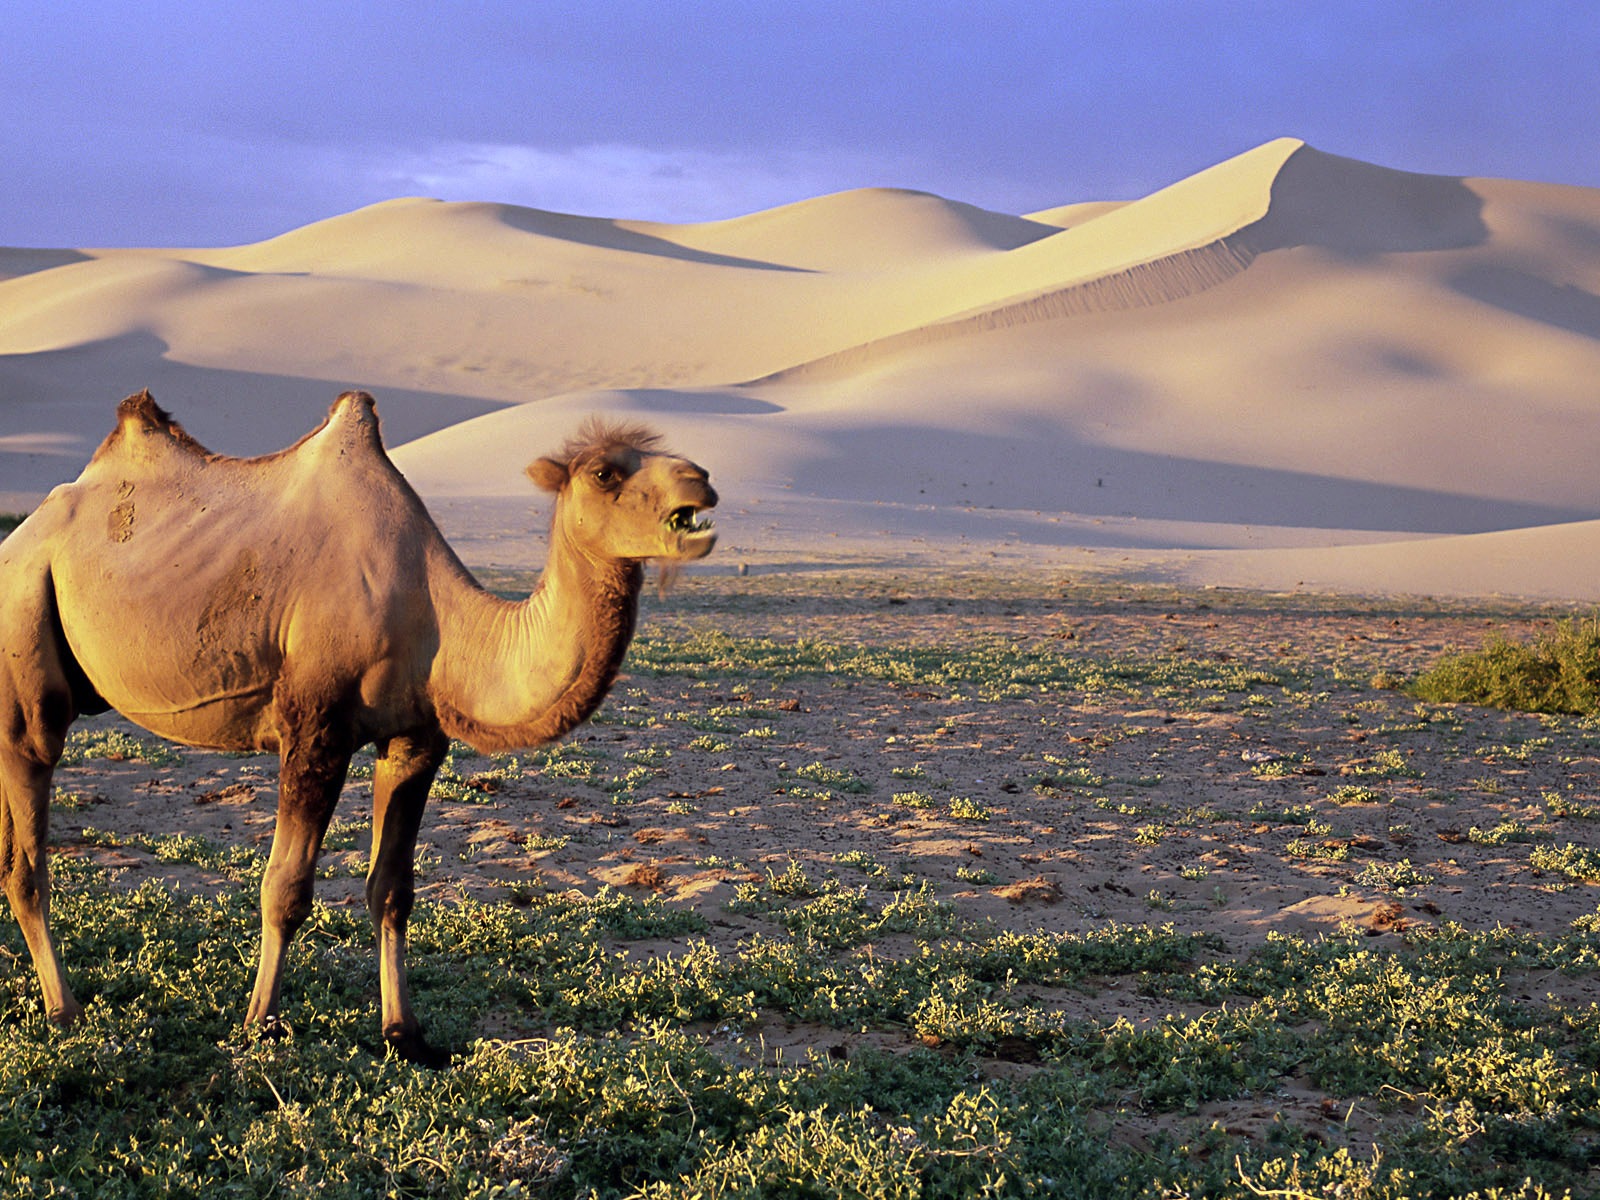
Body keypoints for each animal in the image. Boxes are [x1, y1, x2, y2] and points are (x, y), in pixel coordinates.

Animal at [0, 390, 716, 1068]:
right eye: (605, 472)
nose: (702, 479)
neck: (438, 620)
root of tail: (20, 539)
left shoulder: (415, 740)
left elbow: (392, 890)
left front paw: (405, 1034)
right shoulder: (314, 725)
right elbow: (286, 888)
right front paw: (260, 1026)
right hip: (25, 640)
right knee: (29, 840)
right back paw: (65, 1013)